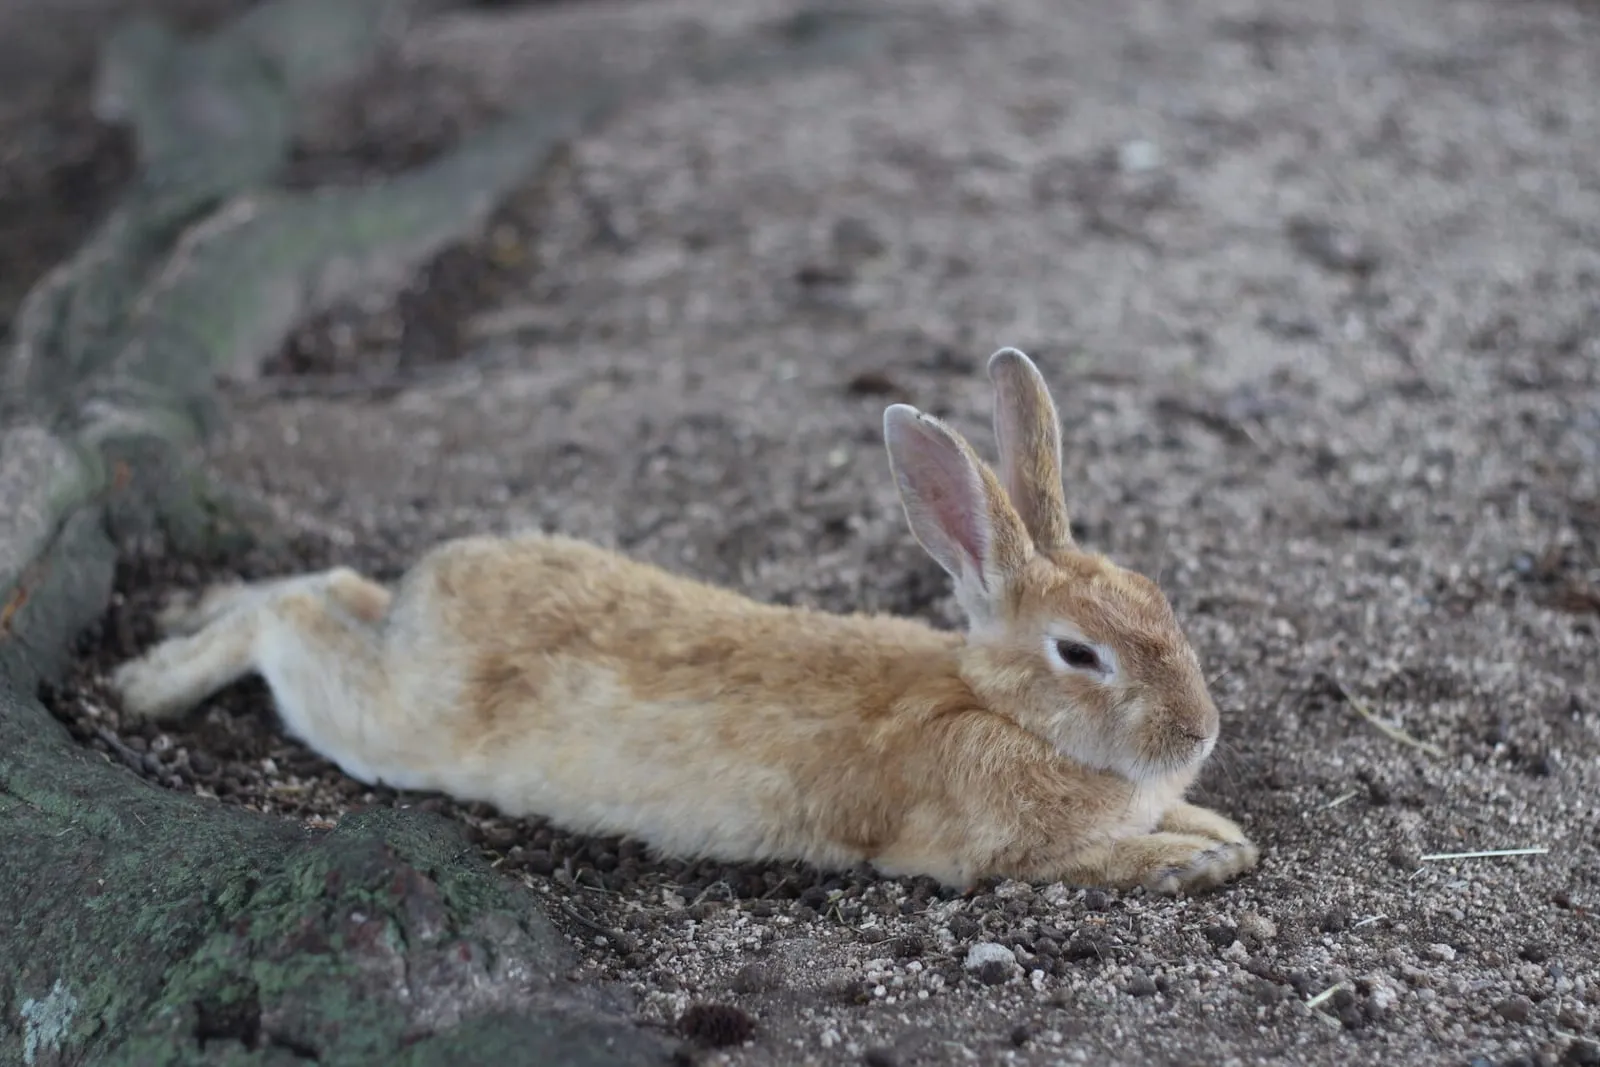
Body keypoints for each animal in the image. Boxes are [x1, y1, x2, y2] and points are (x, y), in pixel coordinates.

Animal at [110, 347, 1258, 895]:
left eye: (1157, 598)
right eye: (1080, 653)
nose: (1199, 734)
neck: (1001, 707)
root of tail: (421, 600)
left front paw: (1218, 833)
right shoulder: (993, 849)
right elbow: (1093, 857)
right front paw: (1197, 859)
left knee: (337, 585)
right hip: (382, 724)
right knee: (291, 622)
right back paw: (148, 681)